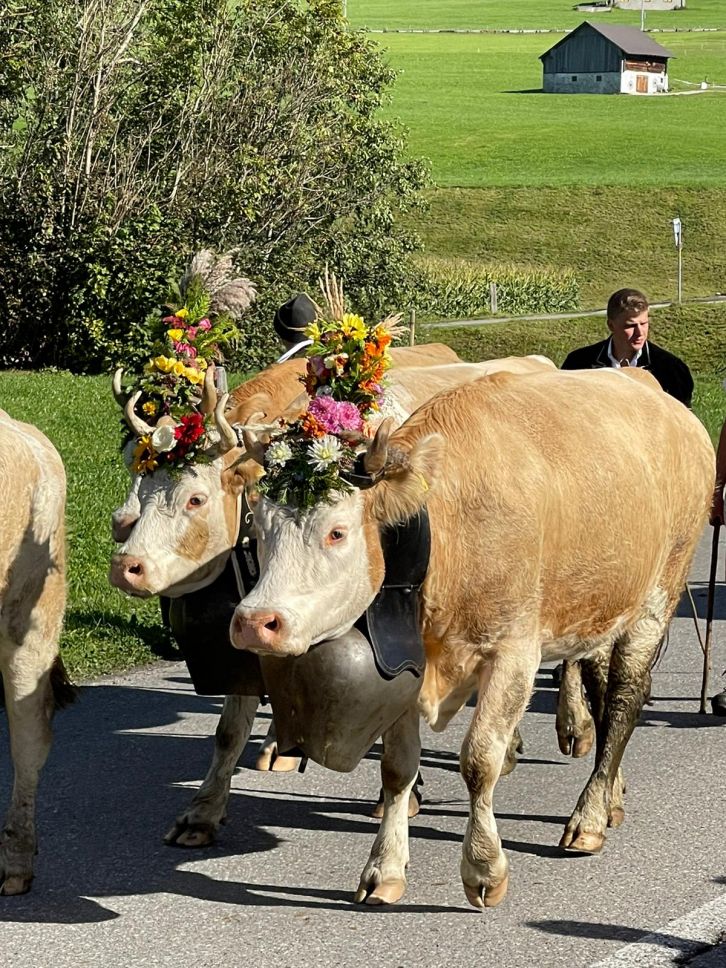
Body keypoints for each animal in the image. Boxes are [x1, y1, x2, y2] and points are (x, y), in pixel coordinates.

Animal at [232, 368, 716, 908]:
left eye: (337, 532)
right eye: (259, 528)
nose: (254, 620)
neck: (447, 533)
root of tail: (649, 386)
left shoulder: (513, 653)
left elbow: (480, 759)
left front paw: (483, 868)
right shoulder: (406, 658)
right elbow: (397, 767)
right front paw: (384, 867)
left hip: (658, 594)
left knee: (625, 701)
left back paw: (589, 817)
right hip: (599, 607)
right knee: (602, 690)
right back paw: (611, 795)